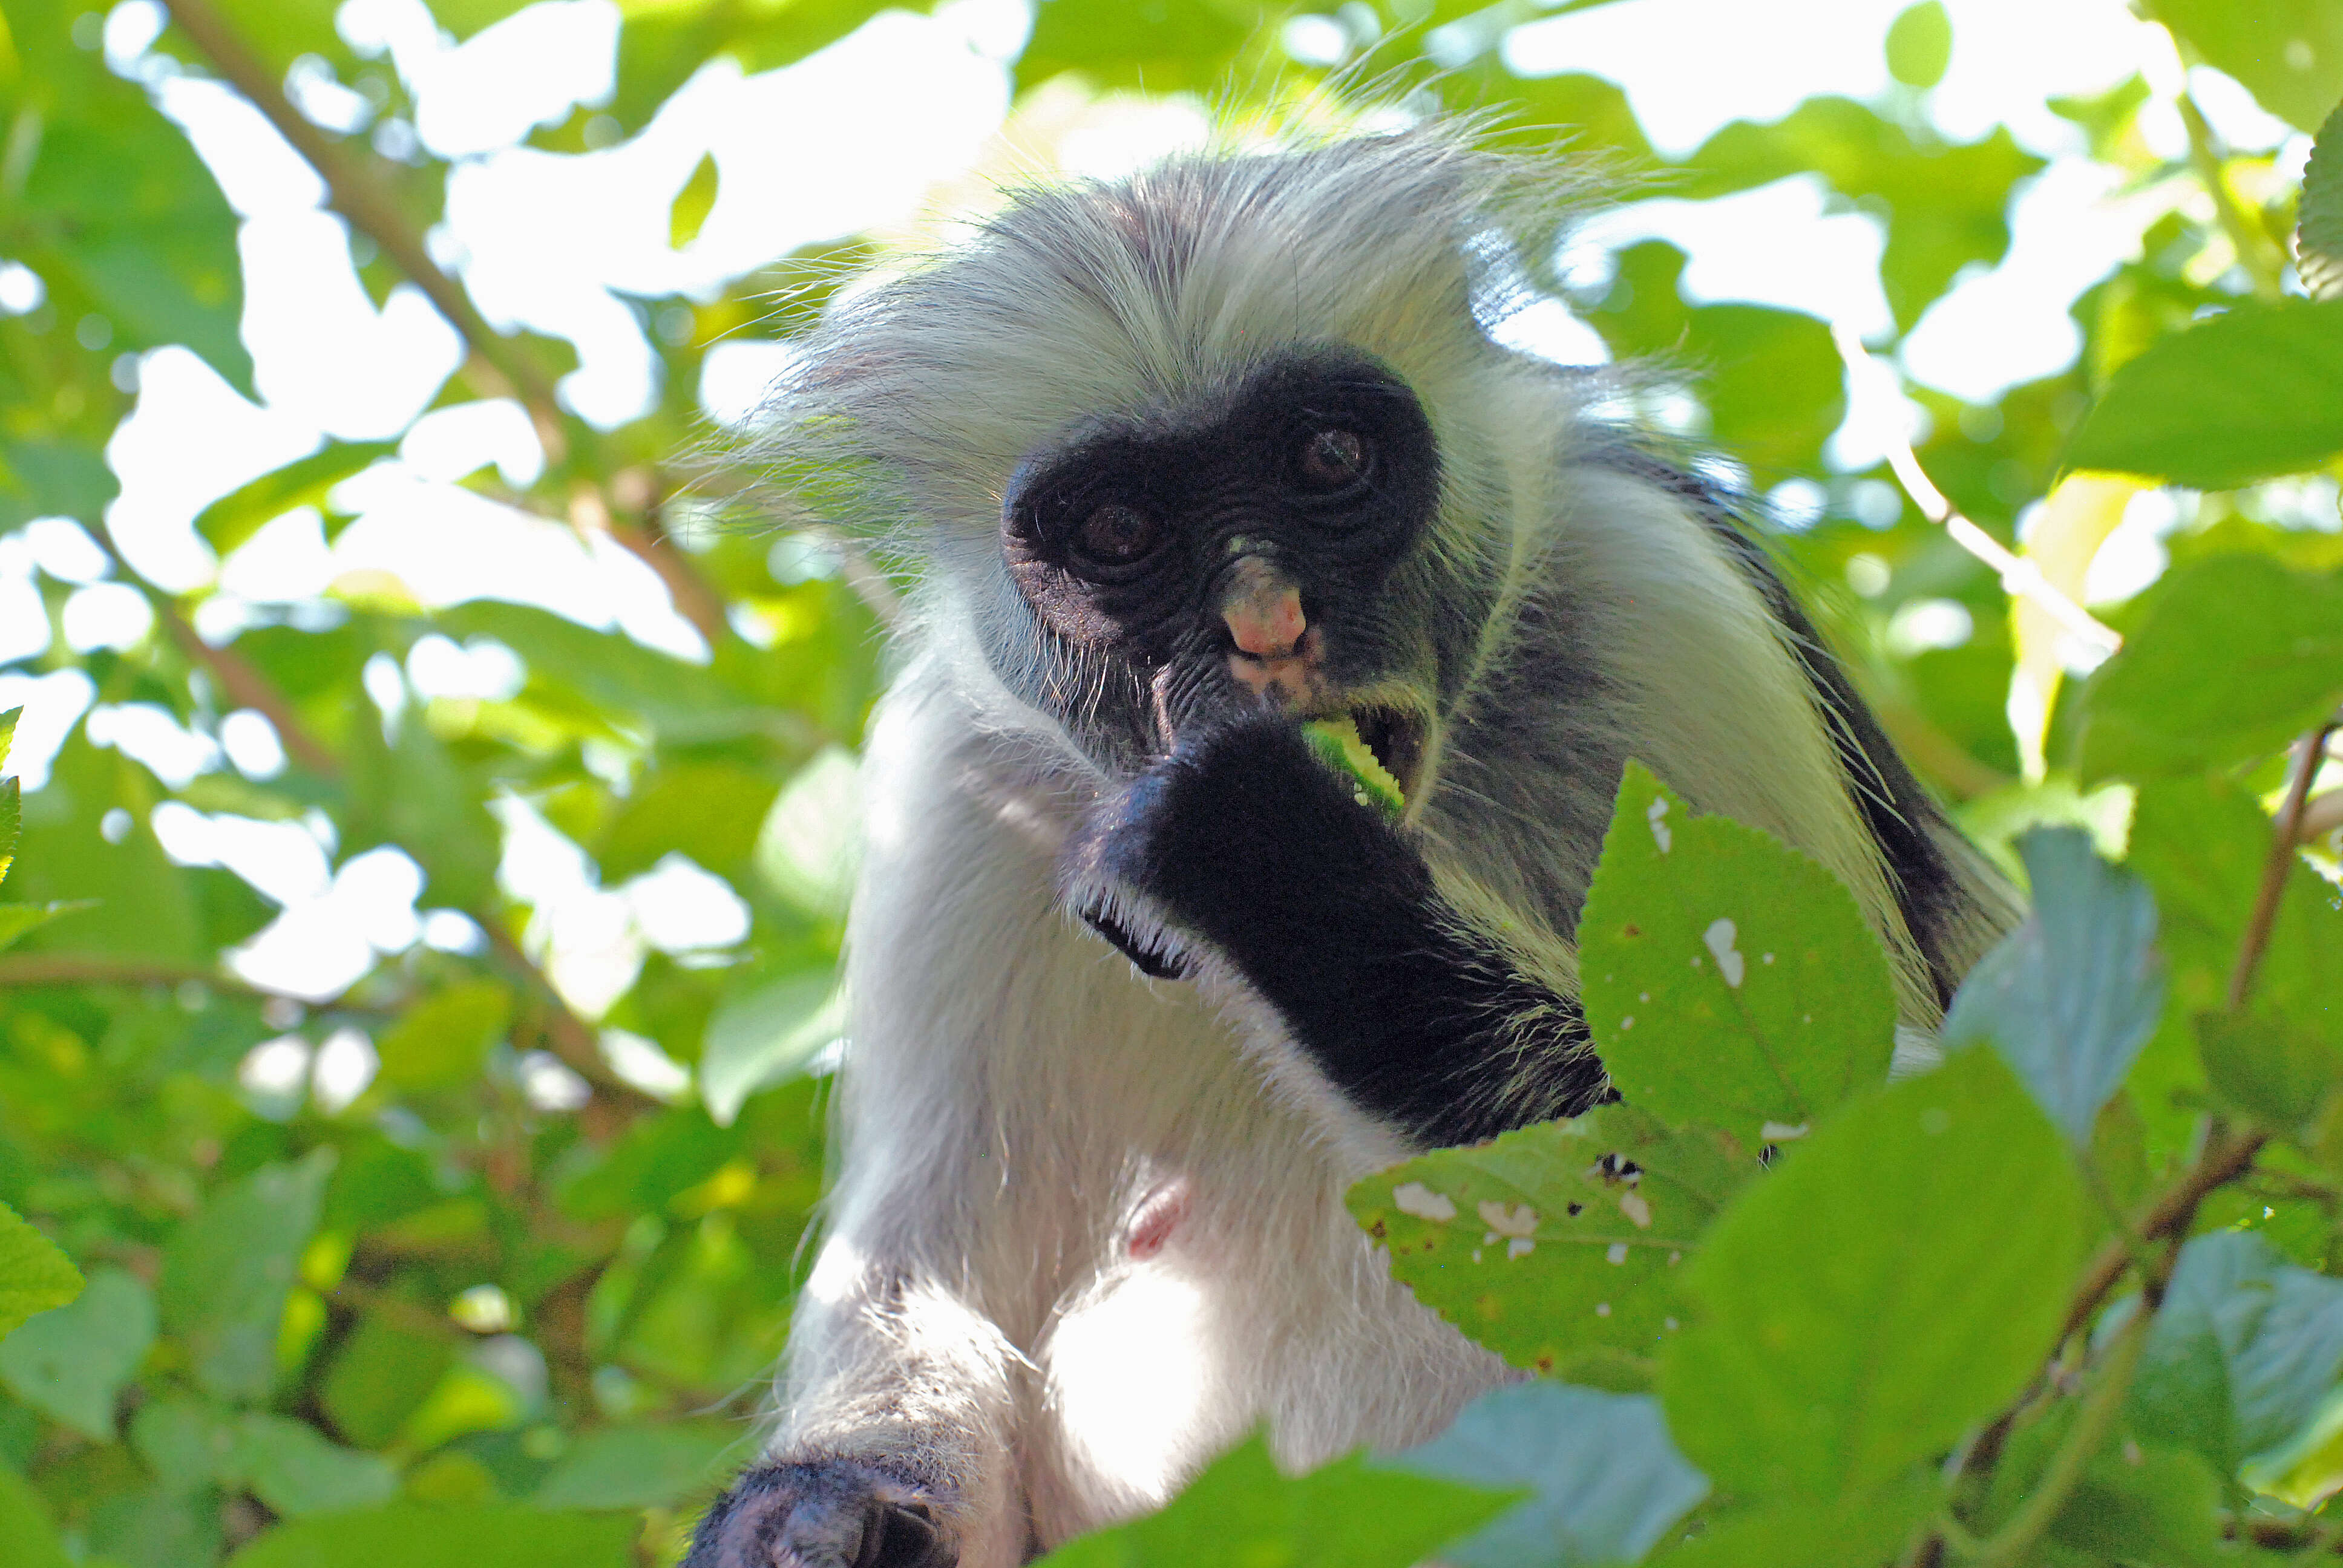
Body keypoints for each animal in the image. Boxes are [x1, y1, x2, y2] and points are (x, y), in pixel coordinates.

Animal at [684, 122, 2024, 1566]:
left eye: (1326, 460)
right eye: (1118, 531)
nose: (1266, 622)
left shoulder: (1663, 609)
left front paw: (1279, 865)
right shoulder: (960, 784)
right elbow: (919, 1291)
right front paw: (818, 1512)